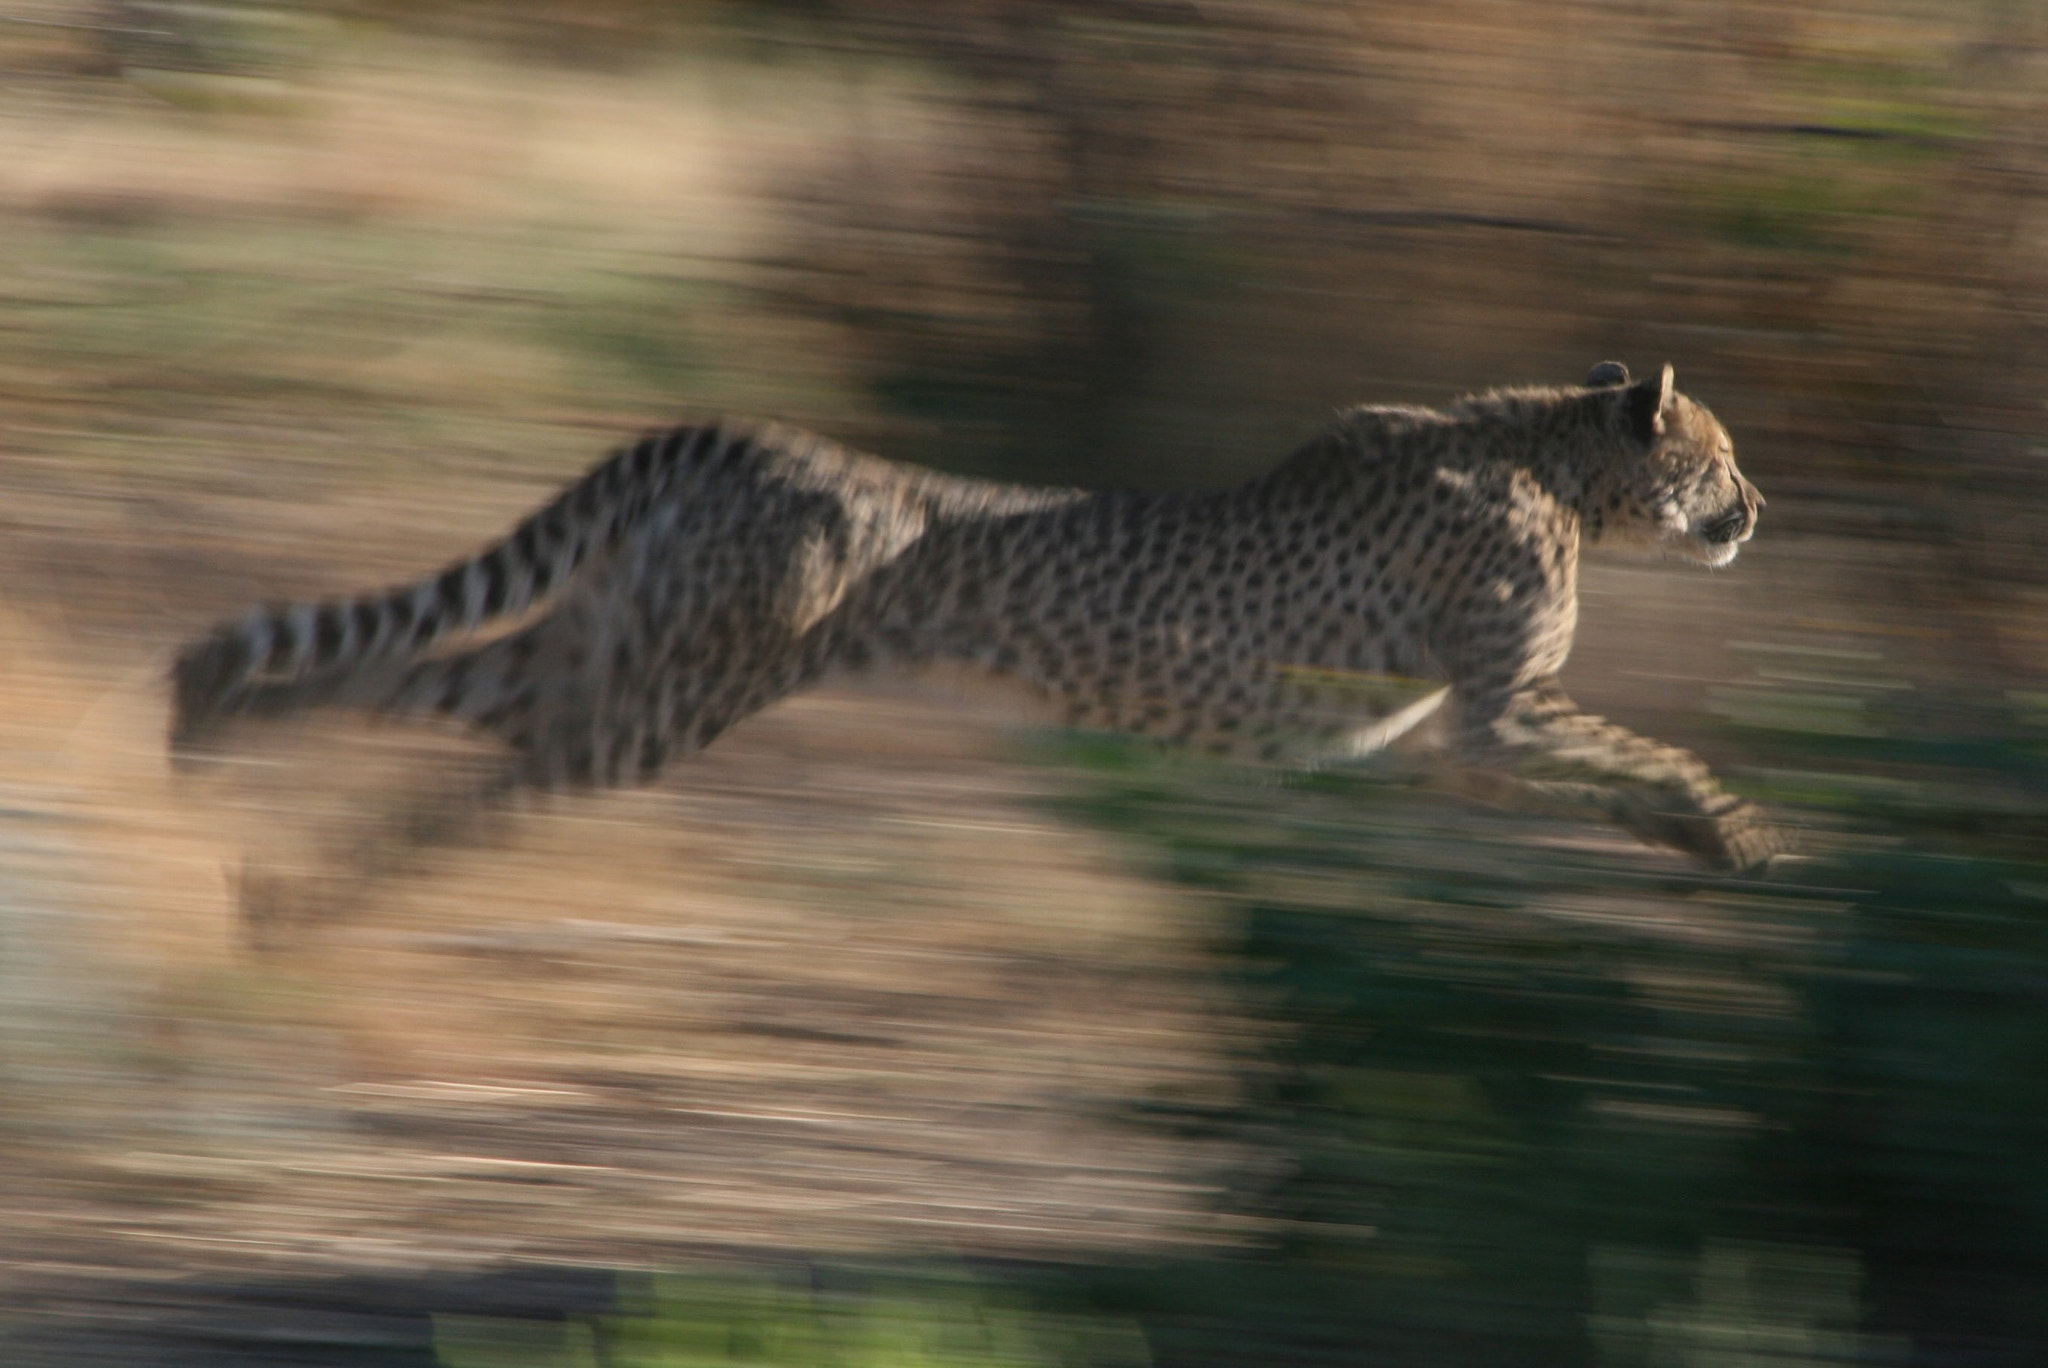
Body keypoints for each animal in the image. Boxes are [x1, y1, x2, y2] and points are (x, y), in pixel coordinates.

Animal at [171, 360, 1779, 881]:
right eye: (1718, 455)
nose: (1757, 509)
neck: (1555, 457)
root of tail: (757, 438)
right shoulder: (1490, 712)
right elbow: (1630, 747)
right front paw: (1740, 827)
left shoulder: (1433, 732)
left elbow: (1605, 768)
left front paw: (1695, 841)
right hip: (669, 695)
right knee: (490, 757)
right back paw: (303, 876)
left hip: (626, 651)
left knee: (425, 686)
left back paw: (220, 734)